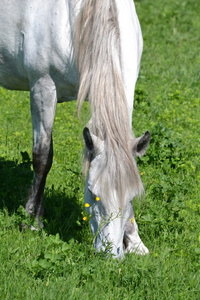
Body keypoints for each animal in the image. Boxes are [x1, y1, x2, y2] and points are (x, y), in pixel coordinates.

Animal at [0, 0, 150, 258]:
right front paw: (33, 220)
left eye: (132, 197)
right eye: (92, 192)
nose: (110, 255)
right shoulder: (43, 87)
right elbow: (42, 157)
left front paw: (135, 242)